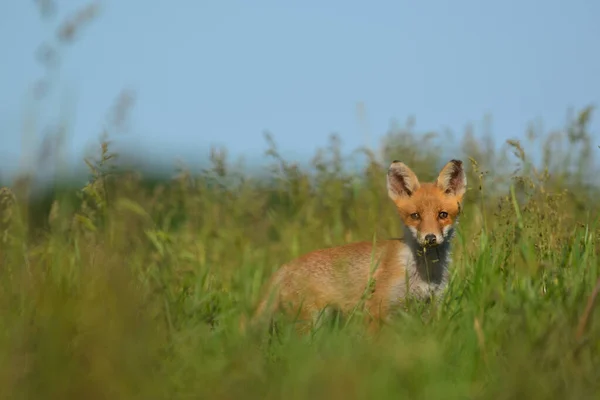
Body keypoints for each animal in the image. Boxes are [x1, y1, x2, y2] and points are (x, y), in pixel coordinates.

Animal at [246, 159, 466, 334]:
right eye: (415, 216)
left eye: (443, 215)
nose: (430, 238)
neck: (425, 272)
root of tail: (285, 267)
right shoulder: (376, 308)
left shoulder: (432, 306)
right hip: (310, 322)